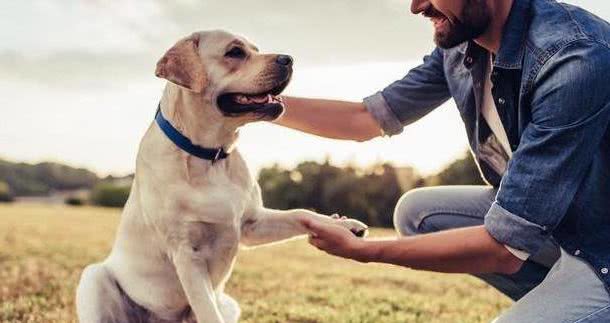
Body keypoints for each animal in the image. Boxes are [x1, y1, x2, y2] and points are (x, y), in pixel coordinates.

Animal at [75, 30, 366, 323]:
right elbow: (207, 311)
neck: (210, 156)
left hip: (229, 303)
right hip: (94, 277)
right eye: (235, 52)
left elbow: (301, 213)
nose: (289, 59)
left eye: (255, 49)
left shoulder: (251, 223)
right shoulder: (186, 253)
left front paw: (342, 225)